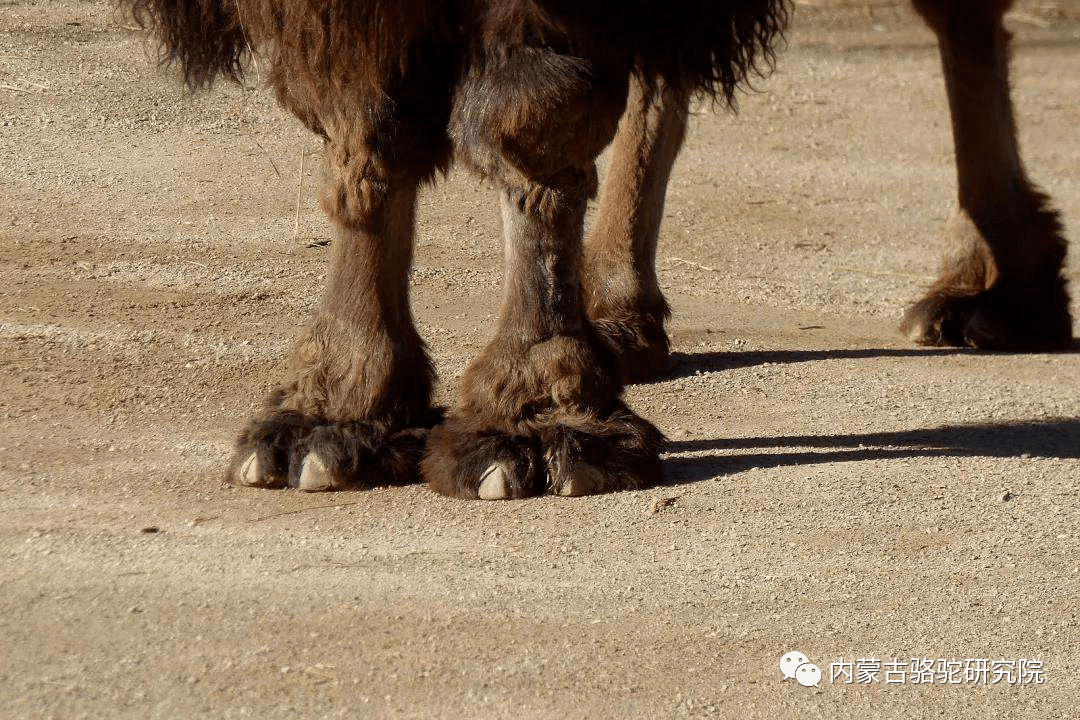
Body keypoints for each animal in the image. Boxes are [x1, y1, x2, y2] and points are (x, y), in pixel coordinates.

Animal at [124, 0, 1071, 498]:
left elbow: (532, 119)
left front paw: (536, 422)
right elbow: (364, 126)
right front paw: (329, 417)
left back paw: (995, 293)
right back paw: (619, 312)